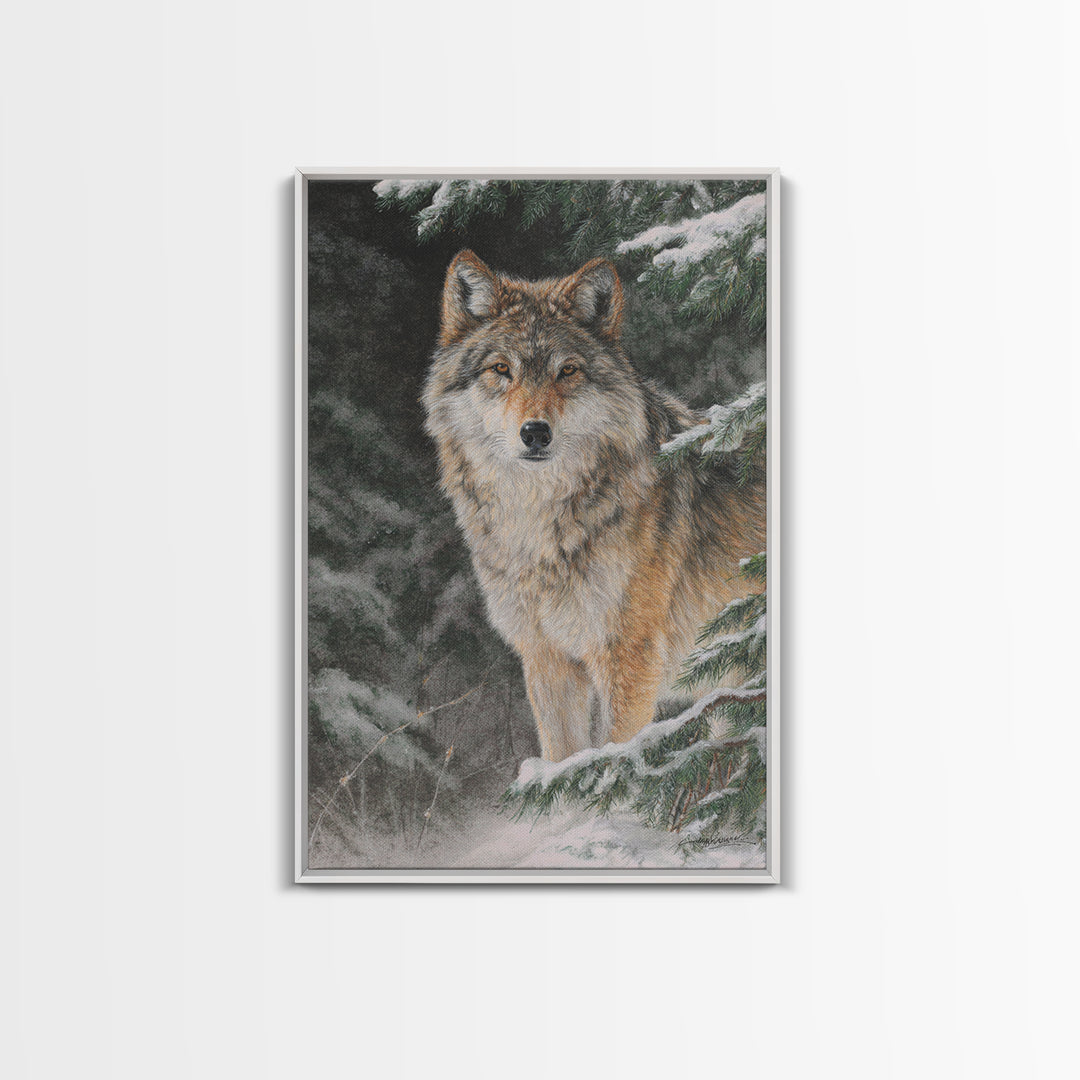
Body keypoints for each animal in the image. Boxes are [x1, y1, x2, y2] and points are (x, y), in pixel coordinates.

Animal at [423, 250, 766, 761]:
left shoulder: (627, 657)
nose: (536, 433)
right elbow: (564, 763)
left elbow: (611, 761)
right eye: (501, 369)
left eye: (567, 371)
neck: (540, 527)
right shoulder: (547, 658)